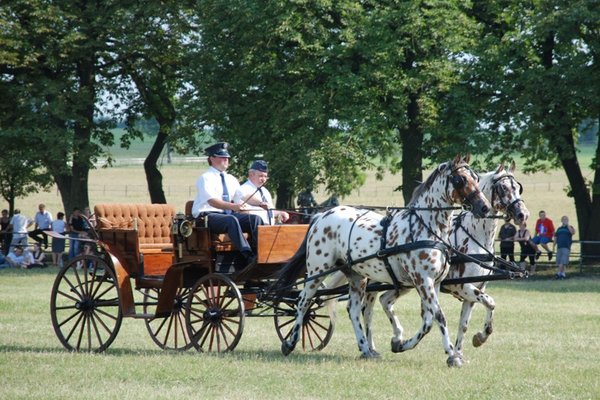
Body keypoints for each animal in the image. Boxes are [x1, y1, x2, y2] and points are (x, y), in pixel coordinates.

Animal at [272, 155, 492, 368]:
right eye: (460, 179)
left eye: (477, 178)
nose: (485, 207)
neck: (427, 228)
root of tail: (320, 216)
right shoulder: (423, 281)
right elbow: (439, 317)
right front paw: (452, 356)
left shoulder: (435, 283)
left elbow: (430, 319)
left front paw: (401, 343)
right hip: (317, 271)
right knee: (303, 303)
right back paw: (289, 343)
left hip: (357, 277)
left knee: (354, 310)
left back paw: (366, 349)